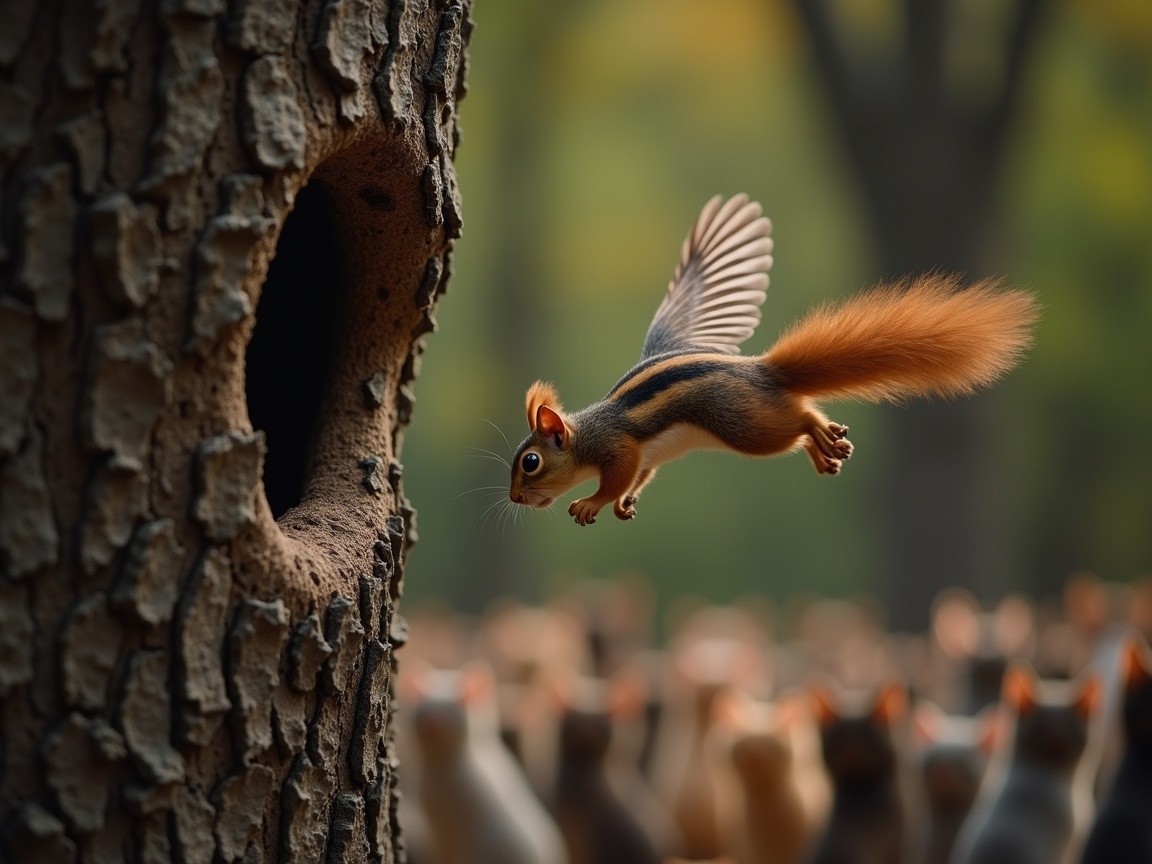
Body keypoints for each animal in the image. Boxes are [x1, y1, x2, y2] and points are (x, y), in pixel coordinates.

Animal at [509, 194, 1039, 526]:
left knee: (799, 418)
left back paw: (821, 434)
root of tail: (766, 372)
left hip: (745, 425)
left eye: (531, 462)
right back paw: (822, 448)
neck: (588, 433)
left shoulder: (617, 448)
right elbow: (640, 477)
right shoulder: (647, 455)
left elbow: (616, 478)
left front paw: (591, 503)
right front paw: (624, 505)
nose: (514, 497)